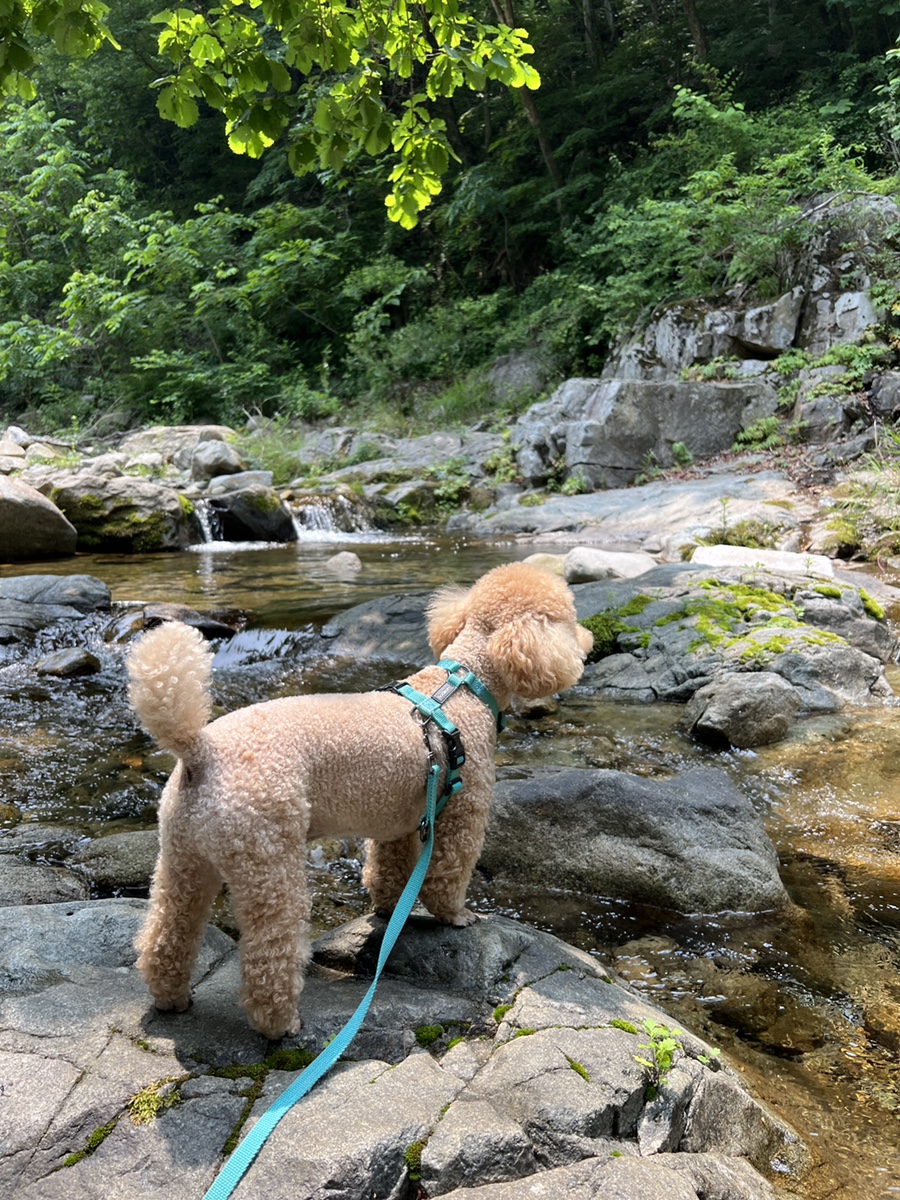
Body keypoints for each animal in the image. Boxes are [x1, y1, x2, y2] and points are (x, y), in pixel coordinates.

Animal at [127, 561, 592, 1041]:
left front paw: (388, 910)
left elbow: (390, 869)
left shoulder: (399, 818)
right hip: (268, 863)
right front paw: (457, 915)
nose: (589, 641)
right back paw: (281, 1023)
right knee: (269, 953)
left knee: (167, 933)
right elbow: (448, 873)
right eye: (569, 619)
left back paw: (171, 997)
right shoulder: (462, 811)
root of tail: (200, 751)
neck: (463, 685)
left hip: (182, 859)